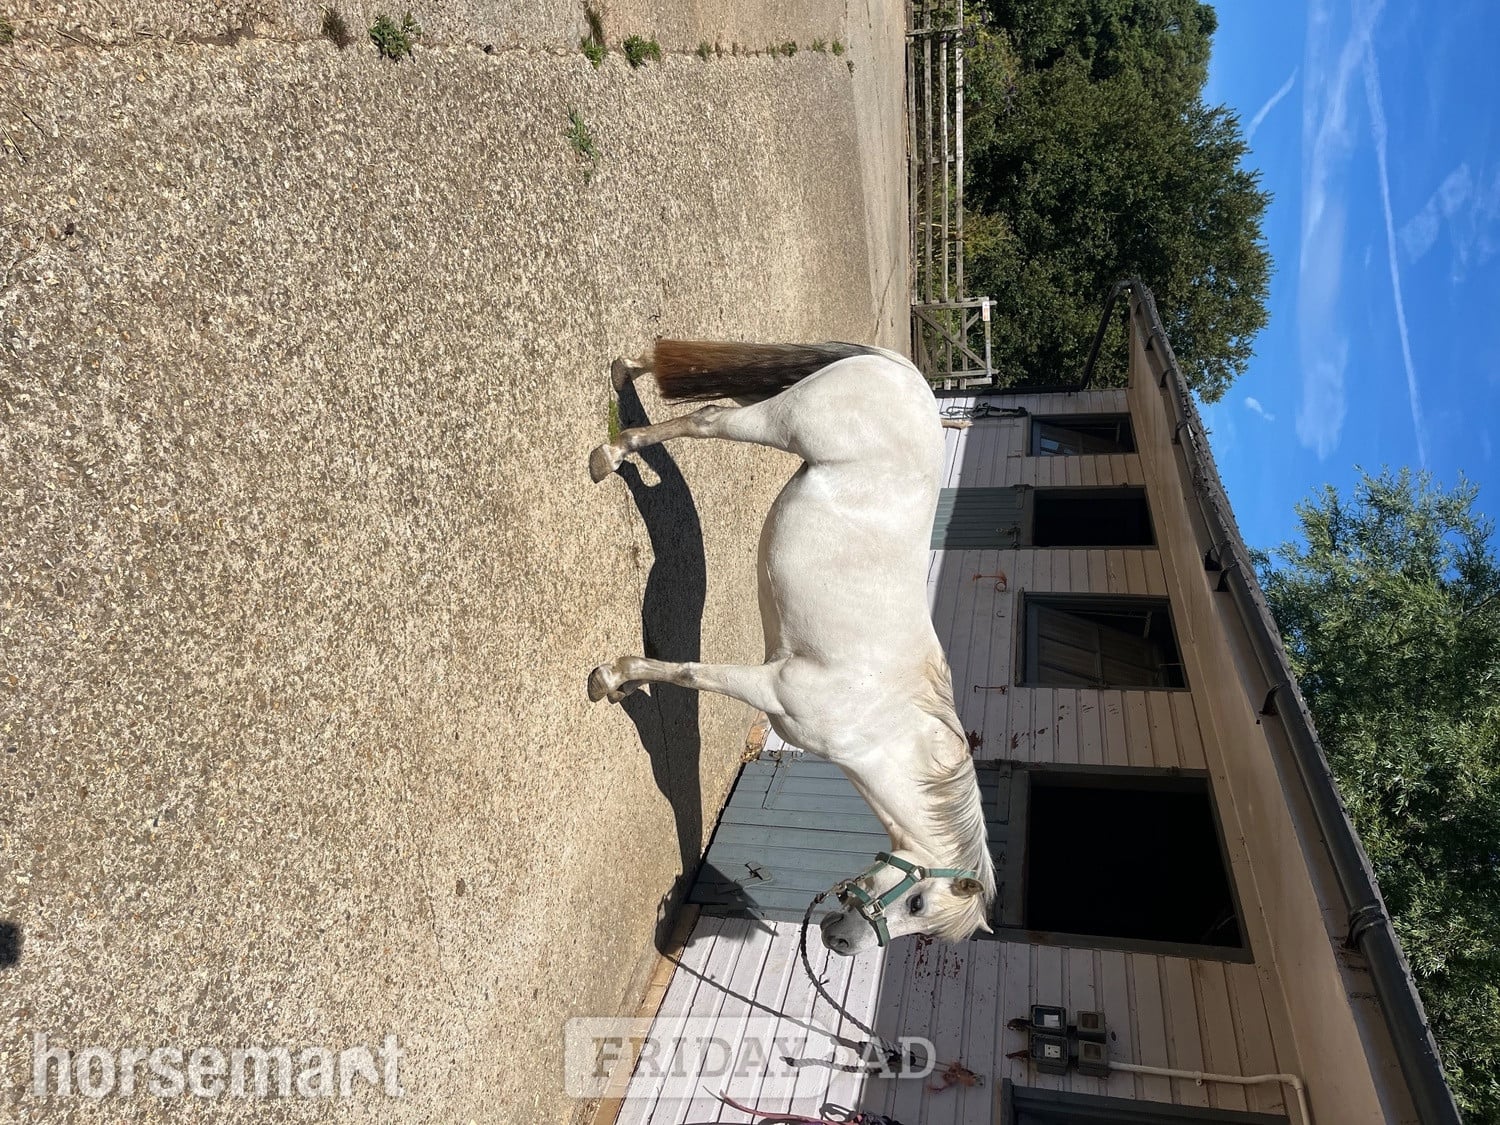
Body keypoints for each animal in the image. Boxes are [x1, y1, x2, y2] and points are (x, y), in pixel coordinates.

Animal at [587, 340, 996, 955]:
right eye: (919, 905)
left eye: (922, 924)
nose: (840, 942)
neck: (883, 723)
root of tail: (902, 372)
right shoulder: (771, 684)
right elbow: (687, 673)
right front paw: (611, 678)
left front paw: (622, 683)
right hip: (781, 424)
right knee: (708, 418)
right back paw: (607, 455)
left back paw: (625, 379)